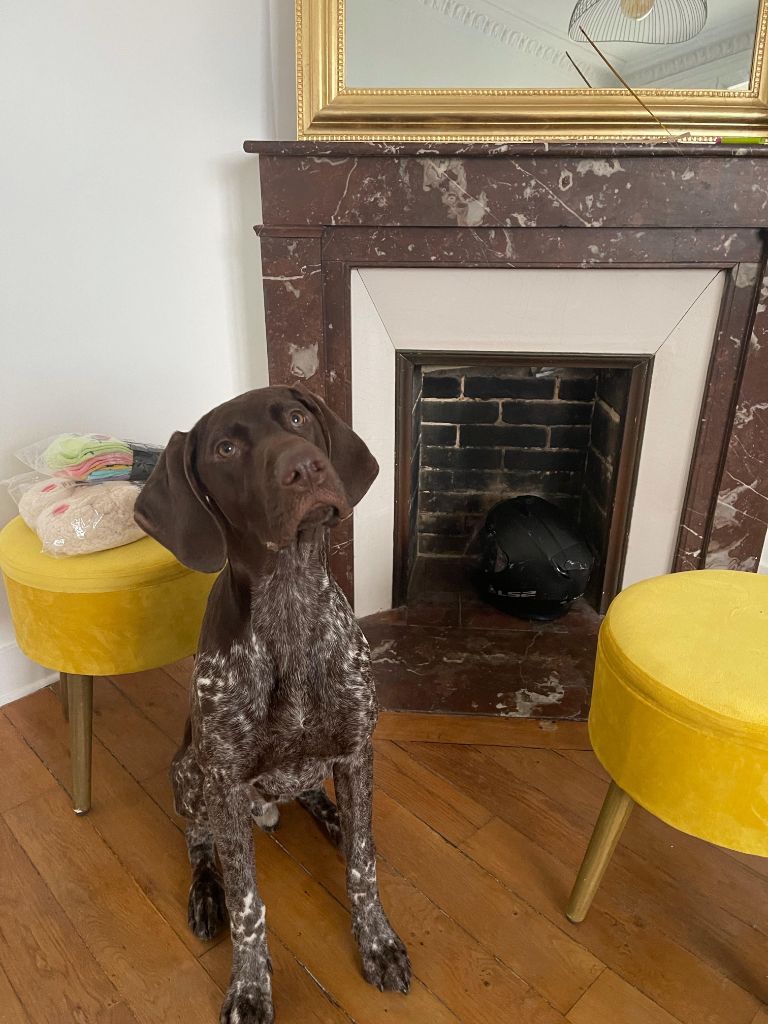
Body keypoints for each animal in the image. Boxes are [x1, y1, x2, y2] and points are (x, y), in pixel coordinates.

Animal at [134, 386, 411, 1024]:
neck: (289, 602)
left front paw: (377, 941)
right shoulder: (224, 781)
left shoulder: (356, 750)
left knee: (318, 797)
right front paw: (249, 988)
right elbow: (248, 907)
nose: (304, 467)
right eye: (225, 449)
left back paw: (335, 820)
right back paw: (205, 892)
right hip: (189, 774)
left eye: (297, 418)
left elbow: (364, 866)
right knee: (199, 842)